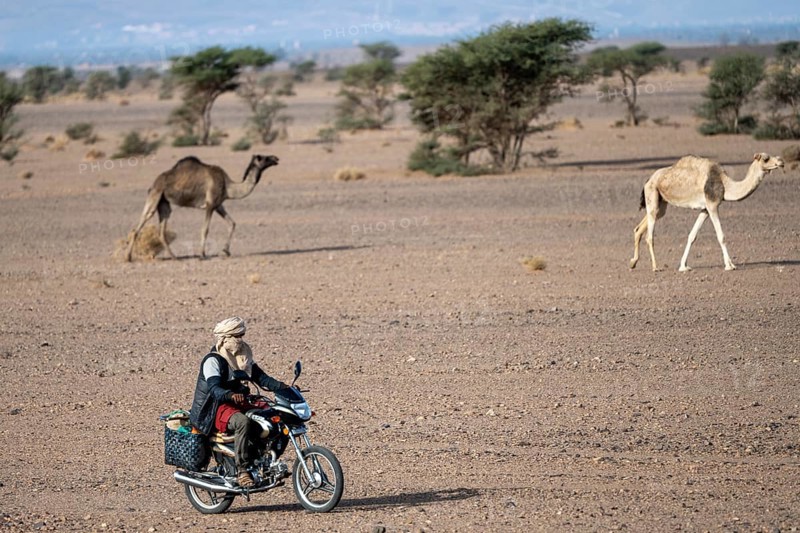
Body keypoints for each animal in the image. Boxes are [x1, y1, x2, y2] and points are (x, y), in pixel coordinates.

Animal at [125, 154, 279, 261]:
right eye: (264, 158)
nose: (275, 158)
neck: (228, 187)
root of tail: (153, 184)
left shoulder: (218, 204)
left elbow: (232, 223)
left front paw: (225, 251)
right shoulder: (210, 205)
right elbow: (205, 229)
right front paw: (202, 255)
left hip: (163, 202)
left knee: (162, 228)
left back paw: (174, 257)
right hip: (155, 195)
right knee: (140, 224)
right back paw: (128, 258)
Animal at [630, 152, 784, 272]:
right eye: (766, 159)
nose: (781, 162)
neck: (725, 184)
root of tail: (649, 179)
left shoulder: (705, 209)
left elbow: (692, 236)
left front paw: (683, 266)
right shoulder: (712, 205)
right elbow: (721, 236)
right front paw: (730, 265)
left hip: (661, 204)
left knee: (640, 227)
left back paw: (633, 262)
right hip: (652, 194)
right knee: (649, 235)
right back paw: (655, 267)